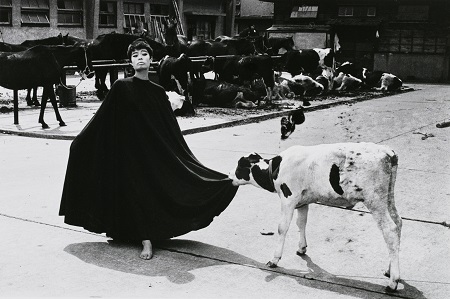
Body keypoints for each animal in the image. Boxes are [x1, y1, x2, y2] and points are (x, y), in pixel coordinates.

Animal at [230, 143, 402, 292]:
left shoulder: (288, 199)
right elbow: (301, 223)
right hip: (388, 197)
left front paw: (275, 259)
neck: (276, 169)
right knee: (398, 222)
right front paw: (302, 248)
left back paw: (393, 282)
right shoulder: (302, 201)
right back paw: (389, 270)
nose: (229, 175)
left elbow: (282, 228)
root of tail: (387, 151)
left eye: (239, 165)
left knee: (390, 229)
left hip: (375, 199)